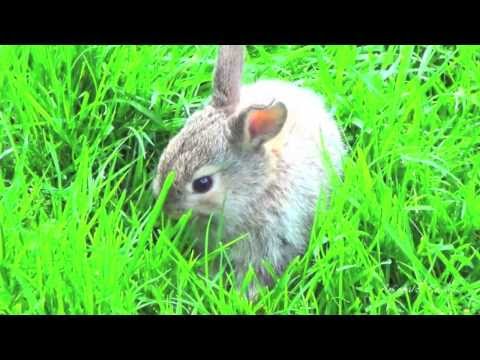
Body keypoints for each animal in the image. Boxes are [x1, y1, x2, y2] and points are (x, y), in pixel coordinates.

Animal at [153, 44, 344, 298]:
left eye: (203, 184)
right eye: (169, 148)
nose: (167, 208)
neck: (254, 191)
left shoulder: (270, 246)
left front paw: (240, 298)